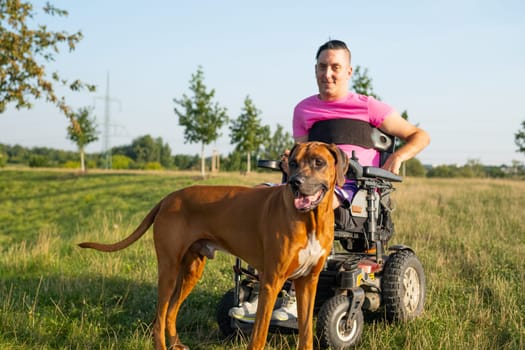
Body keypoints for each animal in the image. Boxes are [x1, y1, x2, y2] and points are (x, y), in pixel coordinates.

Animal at [78, 142, 348, 350]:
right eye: (292, 162)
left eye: (318, 162)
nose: (294, 182)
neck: (310, 219)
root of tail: (167, 198)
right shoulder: (272, 281)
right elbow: (259, 334)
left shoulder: (308, 282)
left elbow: (306, 331)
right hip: (168, 269)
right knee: (159, 316)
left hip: (191, 270)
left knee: (171, 312)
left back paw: (176, 344)